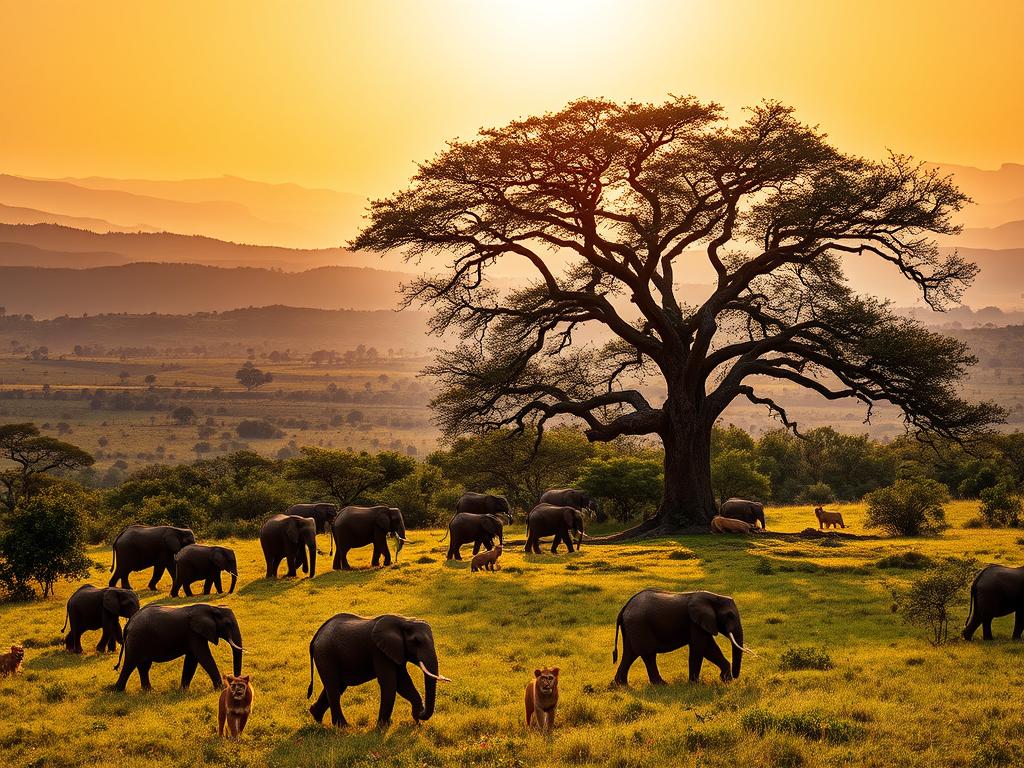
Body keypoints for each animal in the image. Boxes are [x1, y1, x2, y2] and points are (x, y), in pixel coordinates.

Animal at [113, 603, 245, 691]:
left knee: (144, 666)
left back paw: (149, 691)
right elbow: (203, 656)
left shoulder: (194, 634)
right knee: (130, 663)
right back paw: (118, 690)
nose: (234, 685)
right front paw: (221, 689)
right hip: (136, 639)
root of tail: (129, 623)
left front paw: (183, 691)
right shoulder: (194, 633)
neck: (212, 608)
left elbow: (192, 660)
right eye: (228, 624)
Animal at [307, 613, 451, 729]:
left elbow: (403, 683)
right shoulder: (380, 652)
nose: (420, 715)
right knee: (333, 687)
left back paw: (316, 717)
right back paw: (343, 727)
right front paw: (382, 727)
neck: (405, 620)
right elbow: (390, 683)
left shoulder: (396, 651)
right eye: (416, 641)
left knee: (337, 686)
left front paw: (415, 719)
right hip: (325, 655)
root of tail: (316, 636)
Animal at [612, 589, 750, 686]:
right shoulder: (695, 622)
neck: (714, 597)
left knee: (630, 653)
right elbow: (703, 647)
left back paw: (621, 685)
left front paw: (724, 680)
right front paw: (697, 684)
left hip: (632, 627)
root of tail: (624, 608)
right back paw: (662, 685)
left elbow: (702, 647)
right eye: (730, 615)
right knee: (648, 654)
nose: (735, 677)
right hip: (639, 625)